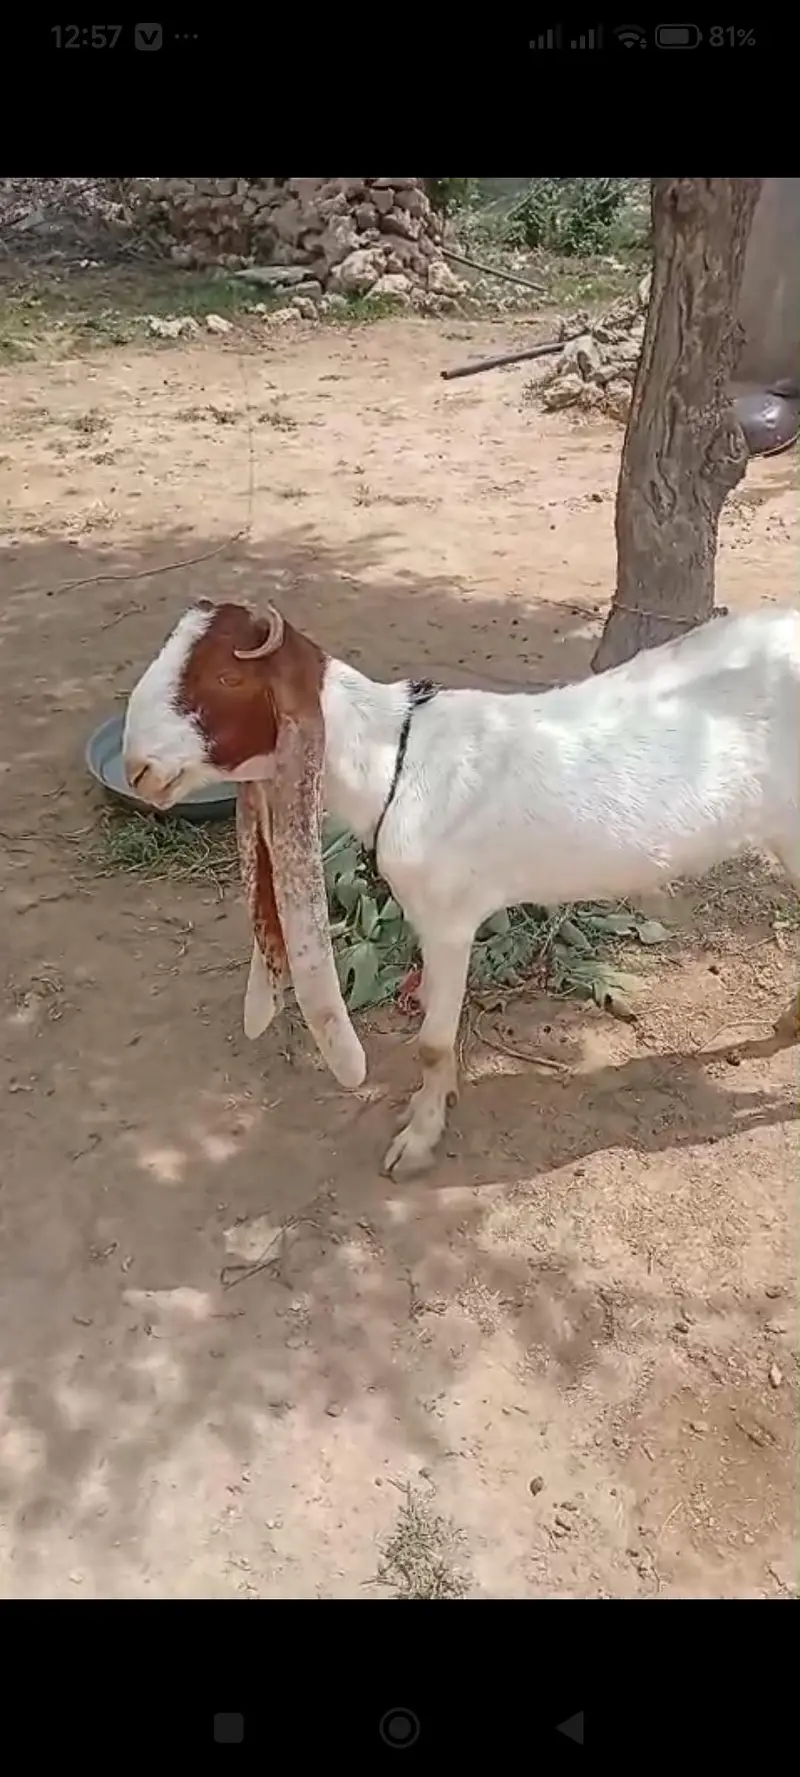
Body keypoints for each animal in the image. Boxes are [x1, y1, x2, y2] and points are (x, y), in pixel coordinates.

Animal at [123, 597, 800, 1177]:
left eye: (227, 680)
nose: (137, 769)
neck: (394, 763)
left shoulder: (450, 920)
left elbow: (430, 1041)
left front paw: (418, 1141)